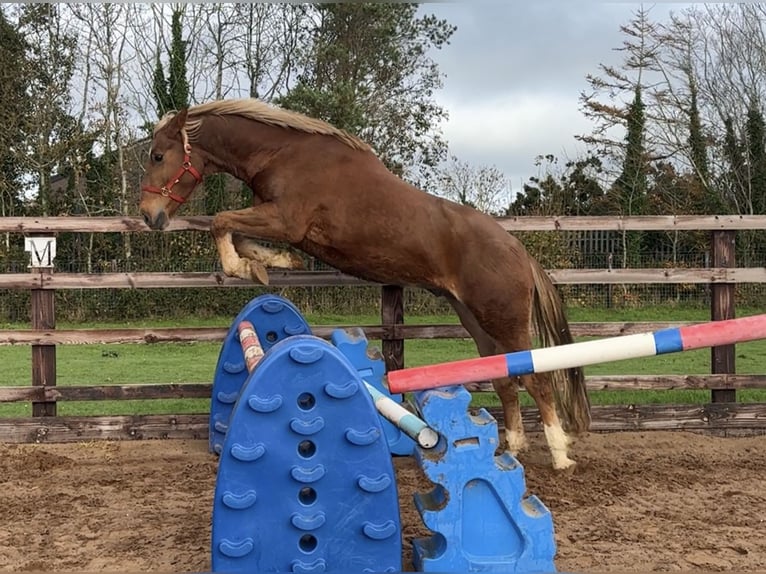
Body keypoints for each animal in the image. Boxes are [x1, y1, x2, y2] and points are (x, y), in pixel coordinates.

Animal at [138, 98, 590, 470]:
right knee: (504, 377)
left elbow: (221, 222)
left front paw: (246, 267)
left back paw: (560, 456)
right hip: (475, 320)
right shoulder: (277, 220)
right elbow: (238, 233)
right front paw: (270, 264)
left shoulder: (285, 220)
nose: (148, 215)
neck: (284, 154)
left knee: (537, 378)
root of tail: (518, 251)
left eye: (159, 154)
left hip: (505, 320)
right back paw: (513, 448)